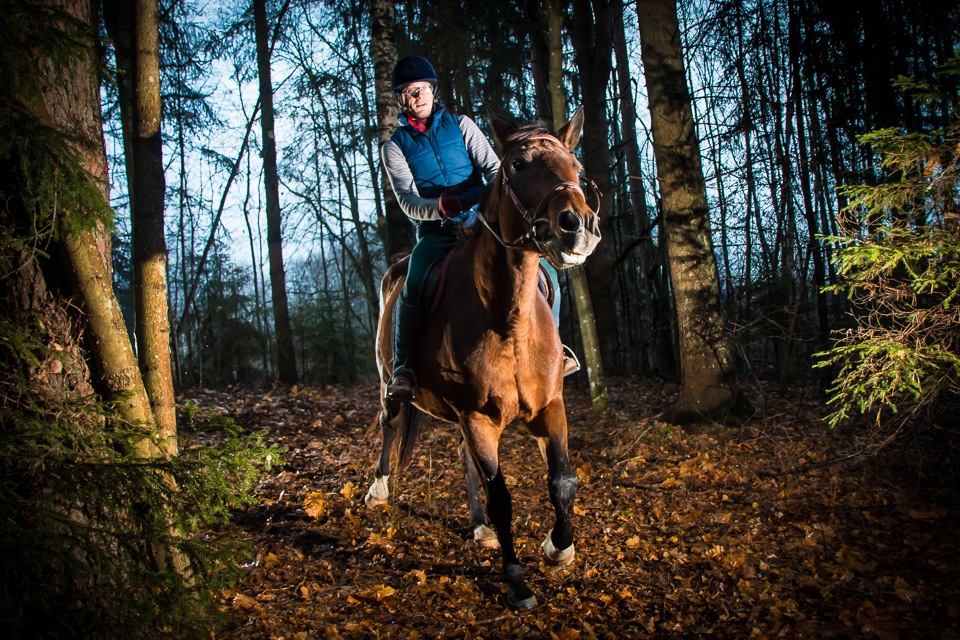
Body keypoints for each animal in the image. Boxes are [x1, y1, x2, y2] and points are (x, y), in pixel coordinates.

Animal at [362, 107, 600, 608]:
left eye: (575, 166)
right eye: (518, 166)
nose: (579, 226)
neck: (508, 323)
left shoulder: (549, 407)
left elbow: (563, 480)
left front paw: (558, 548)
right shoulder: (477, 417)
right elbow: (502, 496)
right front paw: (516, 581)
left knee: (462, 455)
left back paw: (478, 527)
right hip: (391, 383)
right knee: (390, 424)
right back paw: (378, 489)